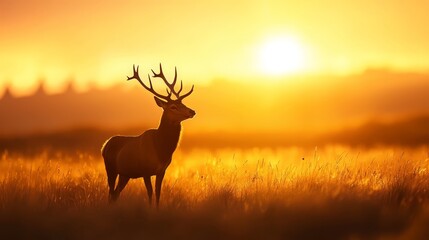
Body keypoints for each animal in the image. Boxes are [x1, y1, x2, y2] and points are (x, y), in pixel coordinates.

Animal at [101, 64, 195, 208]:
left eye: (183, 104)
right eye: (173, 106)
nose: (192, 111)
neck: (161, 149)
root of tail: (104, 145)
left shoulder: (162, 170)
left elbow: (158, 193)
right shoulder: (145, 170)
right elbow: (150, 193)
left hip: (125, 174)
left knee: (115, 194)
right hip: (110, 168)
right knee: (111, 193)